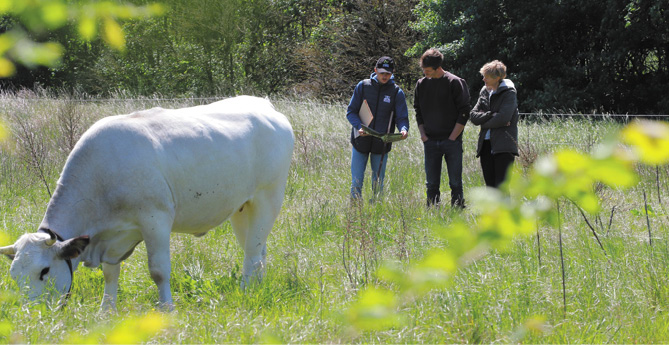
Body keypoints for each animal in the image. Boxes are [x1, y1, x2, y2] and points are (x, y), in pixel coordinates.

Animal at [0, 95, 292, 308]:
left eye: (44, 271)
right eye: (13, 276)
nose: (31, 313)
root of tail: (263, 104)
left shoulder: (156, 220)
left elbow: (159, 271)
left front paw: (167, 309)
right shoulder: (113, 237)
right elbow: (110, 273)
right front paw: (106, 311)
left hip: (268, 197)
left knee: (252, 254)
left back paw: (245, 294)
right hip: (242, 209)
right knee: (258, 250)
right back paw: (256, 288)